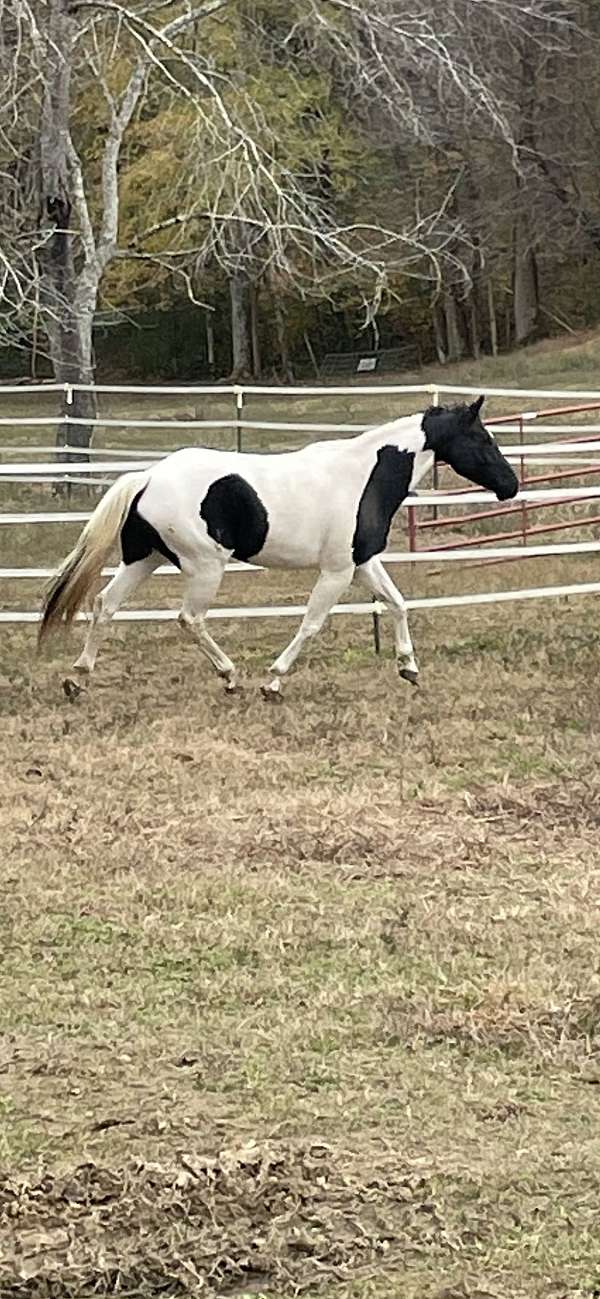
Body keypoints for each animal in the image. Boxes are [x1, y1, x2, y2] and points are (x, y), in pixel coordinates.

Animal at [37, 394, 516, 696]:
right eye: (482, 438)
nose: (510, 486)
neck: (364, 476)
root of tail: (149, 477)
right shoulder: (337, 571)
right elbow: (311, 623)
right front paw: (273, 681)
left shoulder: (362, 562)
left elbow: (397, 603)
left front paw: (409, 669)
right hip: (204, 567)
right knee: (189, 618)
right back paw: (230, 676)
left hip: (144, 559)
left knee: (105, 605)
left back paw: (77, 679)